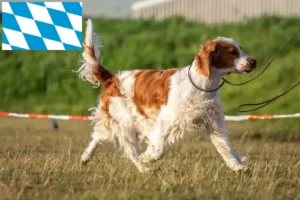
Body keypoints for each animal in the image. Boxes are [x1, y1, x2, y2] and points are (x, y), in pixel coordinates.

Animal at [76, 18, 256, 173]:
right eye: (232, 52)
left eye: (241, 49)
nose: (254, 61)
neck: (202, 85)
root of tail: (113, 78)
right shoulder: (165, 121)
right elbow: (158, 150)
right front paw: (147, 158)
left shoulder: (214, 123)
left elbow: (225, 149)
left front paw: (238, 167)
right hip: (127, 122)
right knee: (130, 152)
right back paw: (144, 169)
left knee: (98, 136)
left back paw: (85, 157)